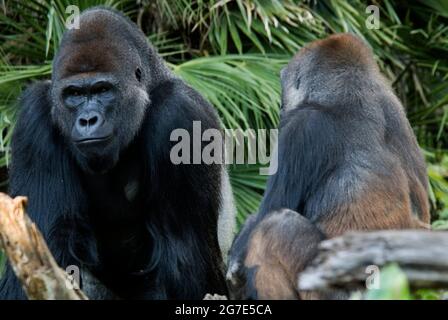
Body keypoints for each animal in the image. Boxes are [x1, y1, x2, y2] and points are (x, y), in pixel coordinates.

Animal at [0, 5, 236, 300]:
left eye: (103, 90)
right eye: (73, 94)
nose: (87, 120)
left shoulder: (180, 115)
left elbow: (183, 260)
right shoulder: (35, 115)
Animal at [228, 33, 430, 300]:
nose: (281, 106)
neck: (350, 90)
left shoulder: (302, 127)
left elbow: (269, 211)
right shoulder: (395, 107)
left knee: (277, 225)